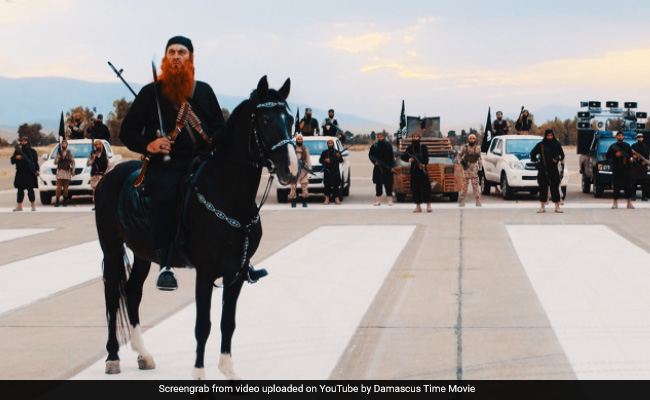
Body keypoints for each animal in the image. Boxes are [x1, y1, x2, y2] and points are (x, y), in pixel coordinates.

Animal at [95, 76, 298, 380]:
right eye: (264, 120)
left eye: (291, 119)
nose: (291, 170)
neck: (229, 195)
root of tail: (109, 176)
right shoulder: (205, 272)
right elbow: (203, 325)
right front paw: (200, 374)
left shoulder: (235, 273)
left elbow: (228, 323)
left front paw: (228, 371)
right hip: (111, 249)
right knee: (111, 297)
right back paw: (112, 357)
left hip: (142, 253)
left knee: (131, 293)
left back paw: (143, 354)